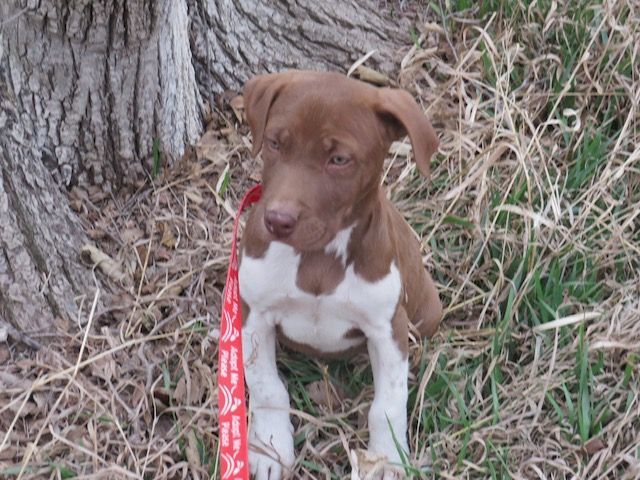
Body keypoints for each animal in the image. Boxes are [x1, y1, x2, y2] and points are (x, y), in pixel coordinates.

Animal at [238, 71, 442, 480]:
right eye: (275, 143)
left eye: (339, 159)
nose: (277, 220)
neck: (319, 255)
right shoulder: (254, 316)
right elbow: (267, 388)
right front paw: (270, 449)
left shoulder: (388, 328)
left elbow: (388, 403)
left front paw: (387, 459)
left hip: (427, 311)